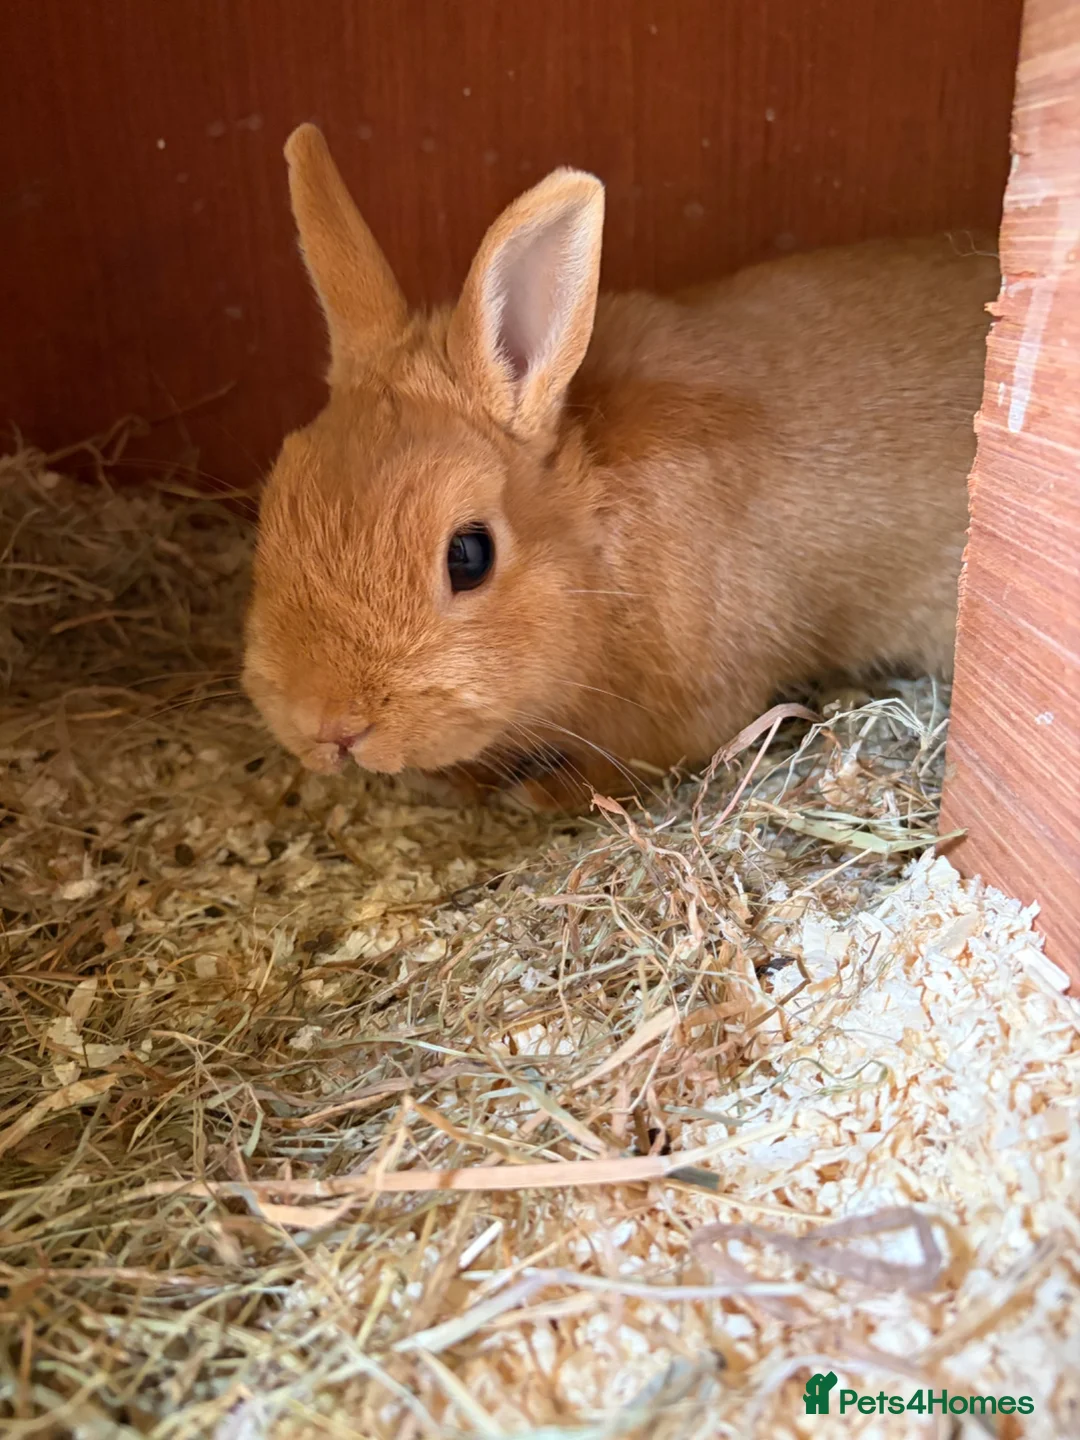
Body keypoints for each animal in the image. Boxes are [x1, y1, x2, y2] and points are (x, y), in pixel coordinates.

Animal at [242, 123, 999, 812]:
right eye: (275, 506)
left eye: (469, 555)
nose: (329, 726)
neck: (595, 557)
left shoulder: (690, 712)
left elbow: (625, 768)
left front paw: (539, 795)